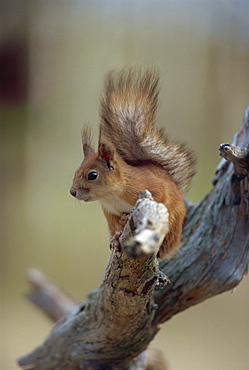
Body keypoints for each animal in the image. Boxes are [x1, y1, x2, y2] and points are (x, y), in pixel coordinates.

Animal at [69, 68, 196, 258]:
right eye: (76, 171)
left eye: (92, 175)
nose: (72, 192)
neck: (112, 195)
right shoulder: (109, 213)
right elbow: (116, 227)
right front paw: (115, 238)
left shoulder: (150, 188)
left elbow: (159, 197)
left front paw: (128, 215)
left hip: (172, 224)